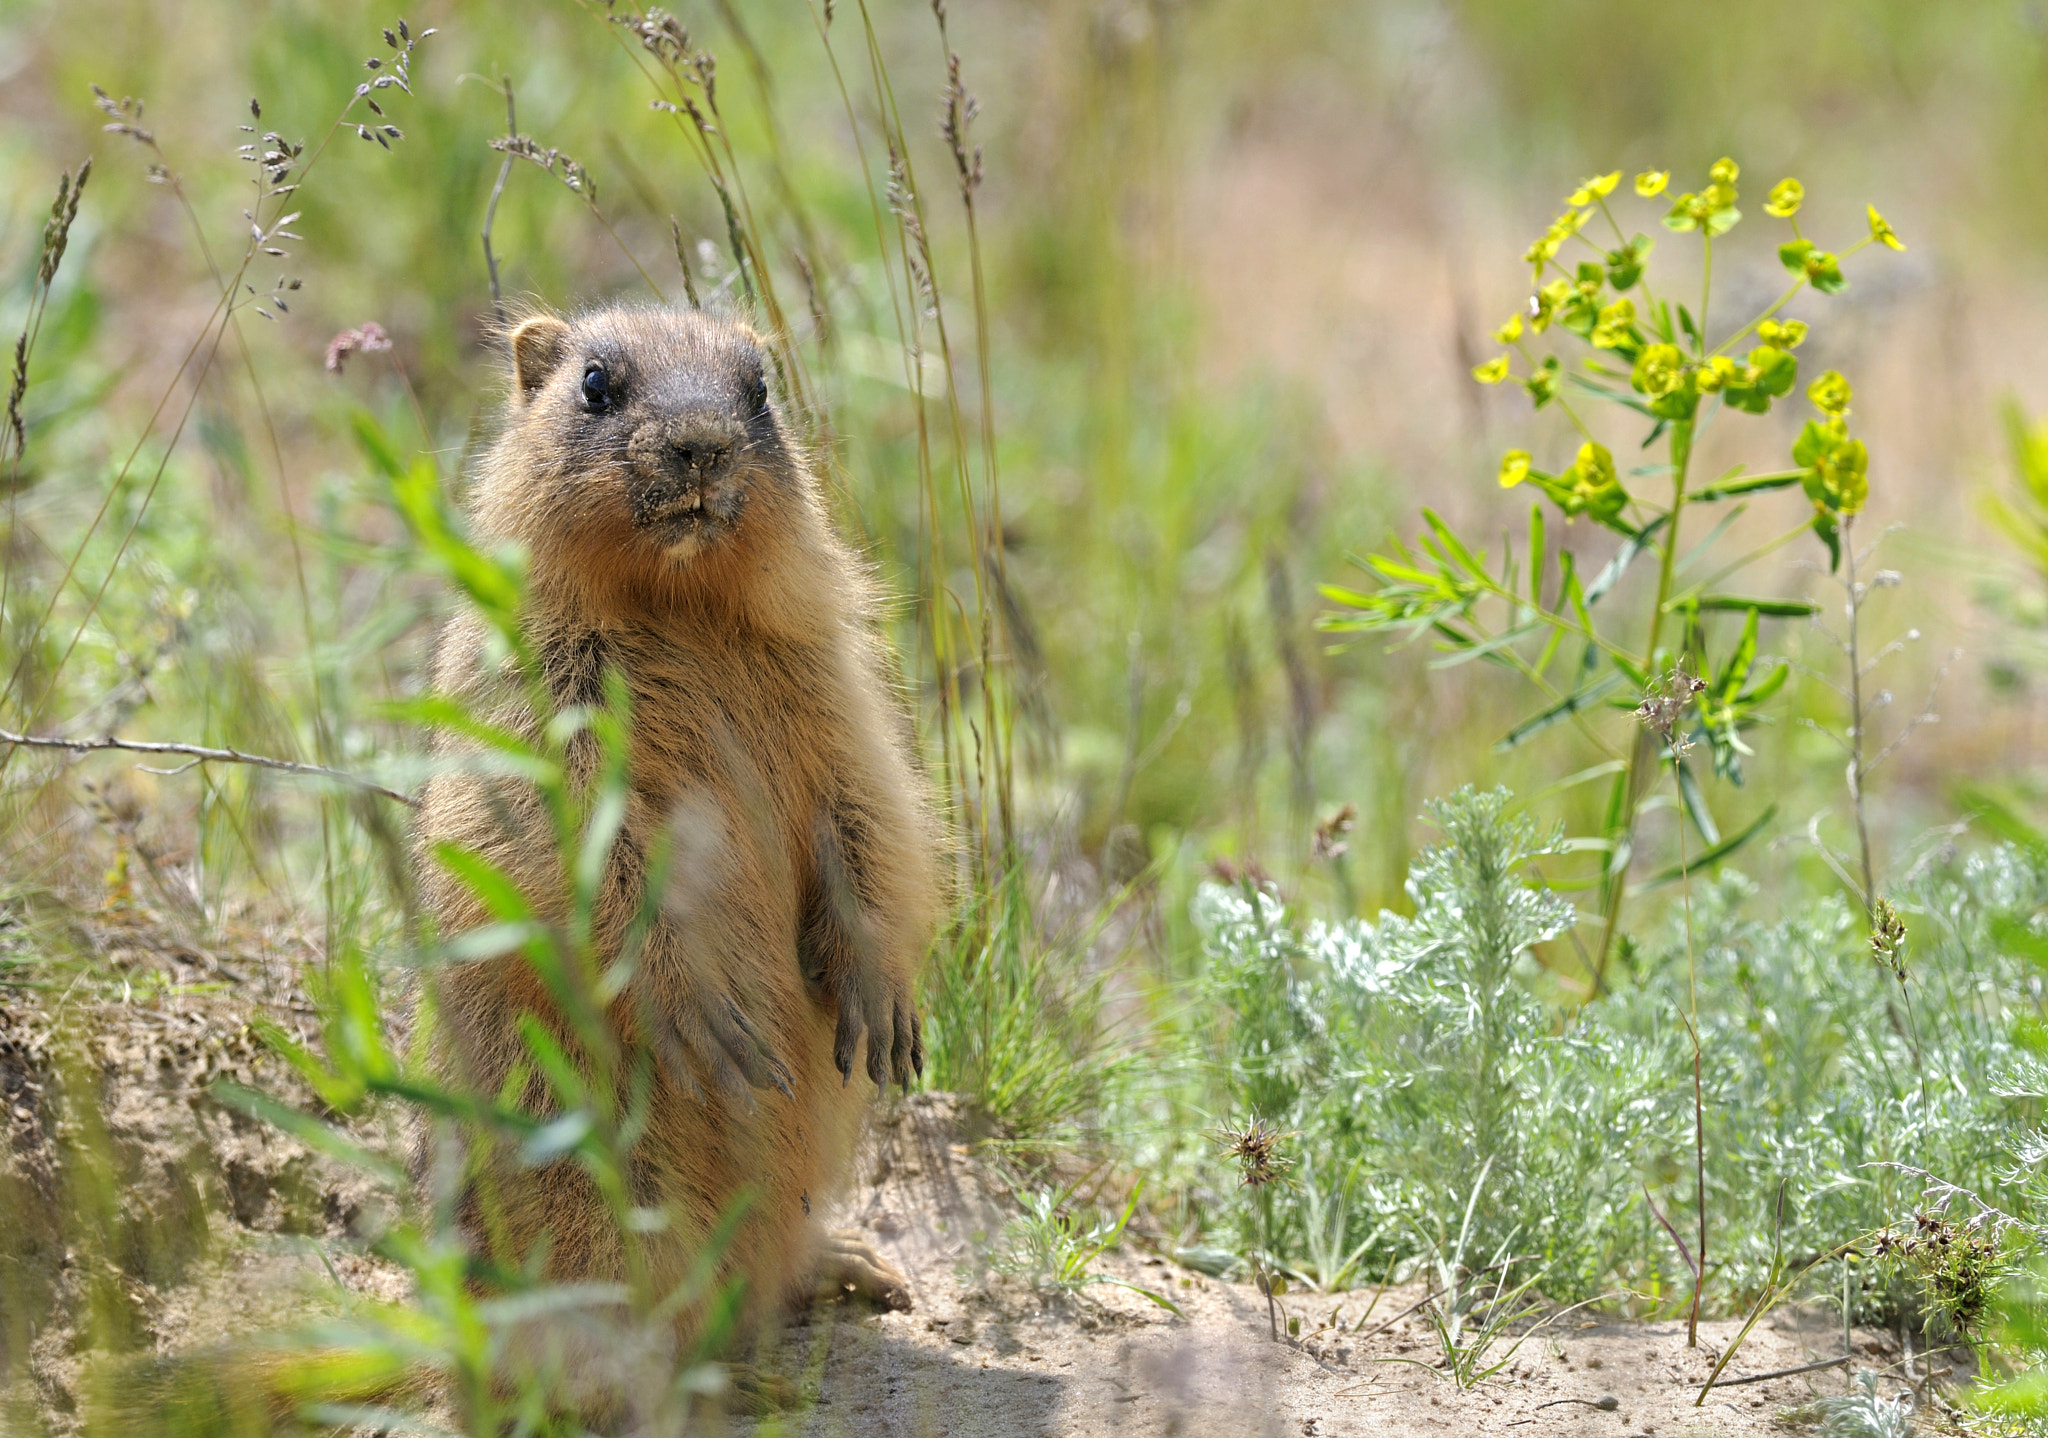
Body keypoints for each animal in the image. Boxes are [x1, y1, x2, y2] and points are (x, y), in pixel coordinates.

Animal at [415, 303, 942, 1351]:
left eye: (760, 389)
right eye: (595, 384)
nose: (703, 442)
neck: (682, 605)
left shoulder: (830, 678)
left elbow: (869, 805)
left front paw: (885, 1010)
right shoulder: (537, 699)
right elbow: (576, 851)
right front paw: (708, 1020)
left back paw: (852, 1268)